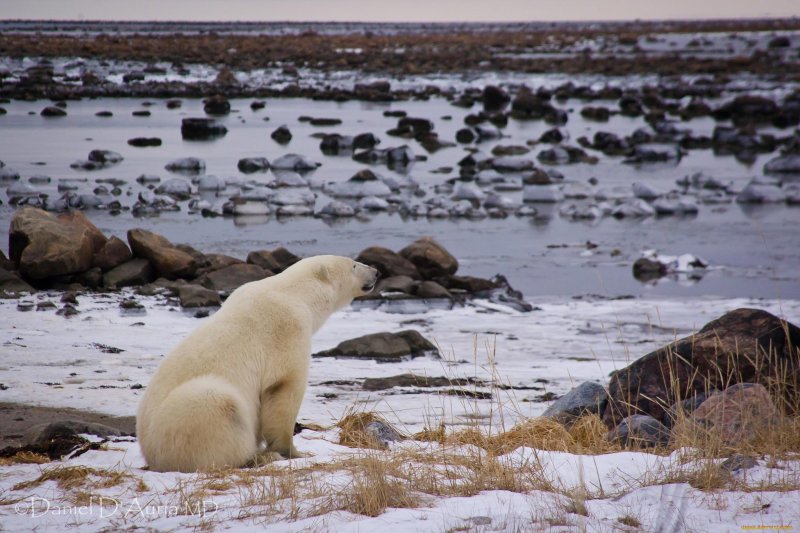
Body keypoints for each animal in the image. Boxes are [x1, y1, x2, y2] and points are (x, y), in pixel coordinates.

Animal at [137, 256, 378, 472]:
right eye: (354, 264)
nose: (376, 271)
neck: (294, 293)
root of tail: (151, 454)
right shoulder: (287, 328)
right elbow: (284, 388)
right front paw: (294, 452)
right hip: (185, 417)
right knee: (220, 407)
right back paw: (259, 457)